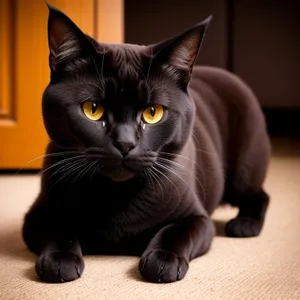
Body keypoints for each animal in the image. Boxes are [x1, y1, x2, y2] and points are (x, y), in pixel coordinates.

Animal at [23, 2, 270, 284]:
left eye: (153, 113)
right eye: (92, 109)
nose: (125, 143)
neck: (116, 197)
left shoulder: (197, 218)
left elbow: (176, 232)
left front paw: (163, 261)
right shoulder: (37, 213)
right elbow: (57, 229)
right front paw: (60, 260)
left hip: (243, 169)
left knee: (260, 195)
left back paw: (244, 225)